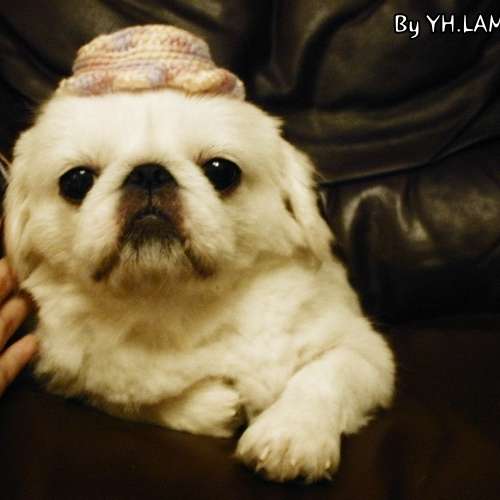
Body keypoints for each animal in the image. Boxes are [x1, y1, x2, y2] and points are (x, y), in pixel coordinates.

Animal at [3, 25, 395, 483]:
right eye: (76, 181)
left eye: (222, 171)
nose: (149, 171)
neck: (175, 309)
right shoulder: (77, 376)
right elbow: (135, 400)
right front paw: (217, 407)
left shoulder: (363, 351)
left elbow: (322, 377)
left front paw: (289, 436)